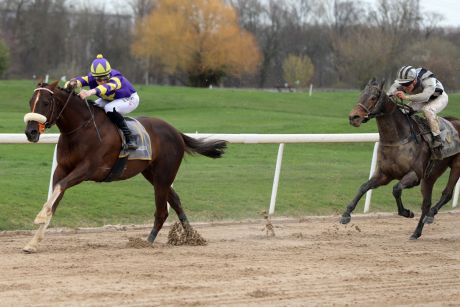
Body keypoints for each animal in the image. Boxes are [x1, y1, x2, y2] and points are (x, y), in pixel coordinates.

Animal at [23, 82, 228, 253]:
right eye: (31, 101)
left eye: (46, 103)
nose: (30, 132)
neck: (81, 129)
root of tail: (175, 131)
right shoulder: (62, 169)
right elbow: (56, 196)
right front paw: (33, 242)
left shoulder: (88, 169)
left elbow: (59, 187)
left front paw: (40, 216)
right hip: (153, 174)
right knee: (175, 201)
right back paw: (192, 237)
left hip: (164, 174)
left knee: (162, 211)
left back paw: (147, 242)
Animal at [340, 78, 460, 239]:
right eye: (361, 95)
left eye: (373, 97)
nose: (354, 117)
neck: (397, 139)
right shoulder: (384, 175)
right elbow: (363, 187)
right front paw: (346, 214)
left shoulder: (414, 176)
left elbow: (396, 189)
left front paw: (406, 212)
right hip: (430, 176)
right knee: (426, 203)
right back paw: (416, 232)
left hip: (456, 166)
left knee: (446, 194)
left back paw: (430, 215)